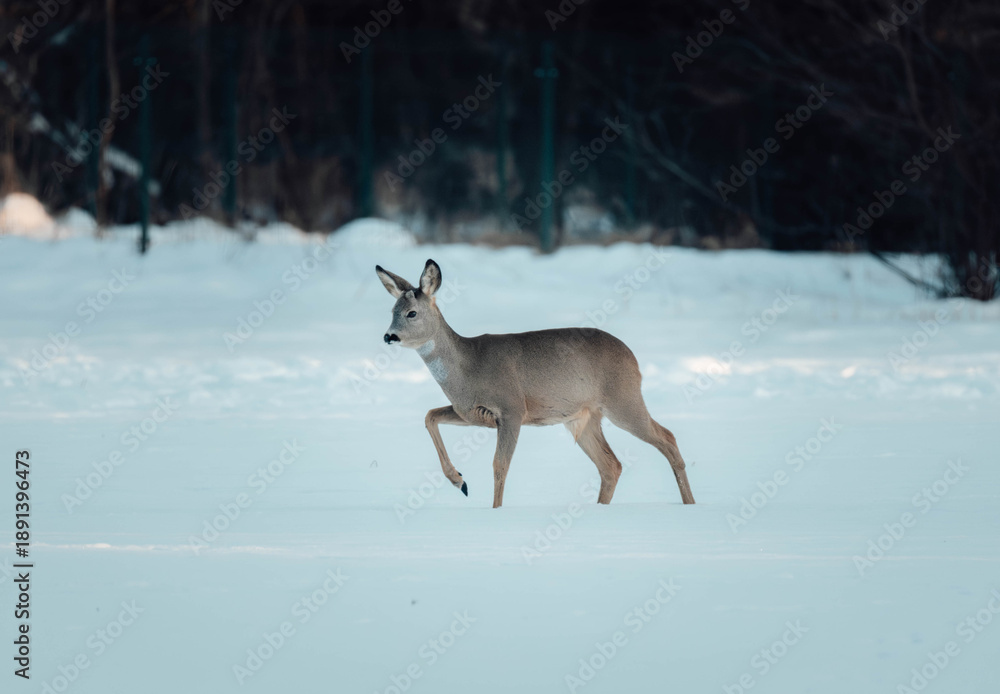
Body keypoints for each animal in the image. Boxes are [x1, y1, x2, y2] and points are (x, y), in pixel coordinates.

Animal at [375, 259, 695, 509]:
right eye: (391, 311)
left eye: (412, 313)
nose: (389, 336)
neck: (467, 369)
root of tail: (634, 359)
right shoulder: (470, 413)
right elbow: (430, 416)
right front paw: (459, 481)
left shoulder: (512, 409)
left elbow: (499, 465)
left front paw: (494, 510)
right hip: (583, 417)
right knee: (611, 465)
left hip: (623, 399)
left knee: (667, 438)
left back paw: (689, 504)